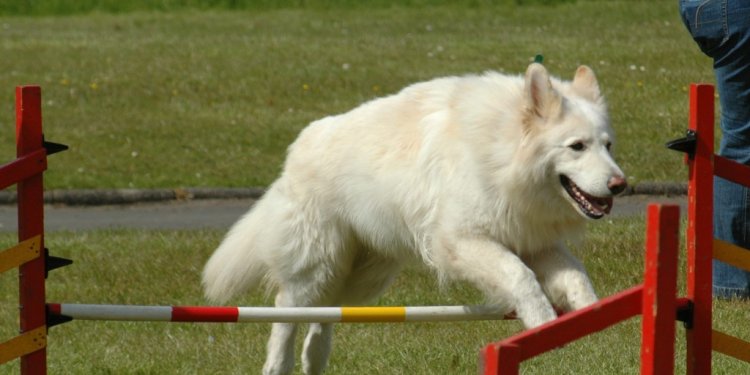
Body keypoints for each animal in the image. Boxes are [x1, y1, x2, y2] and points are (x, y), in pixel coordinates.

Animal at [204, 63, 628, 374]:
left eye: (607, 145)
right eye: (577, 146)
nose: (620, 185)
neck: (501, 149)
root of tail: (299, 147)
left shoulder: (532, 241)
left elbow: (575, 276)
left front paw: (592, 316)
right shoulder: (465, 242)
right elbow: (520, 277)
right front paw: (542, 323)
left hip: (362, 274)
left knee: (325, 315)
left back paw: (315, 359)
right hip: (317, 265)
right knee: (286, 312)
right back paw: (279, 364)